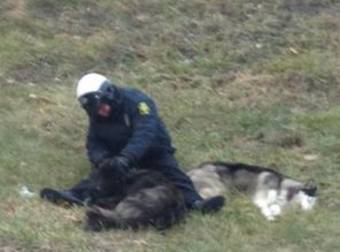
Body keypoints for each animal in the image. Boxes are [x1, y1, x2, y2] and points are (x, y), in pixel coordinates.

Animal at [187, 162, 318, 220]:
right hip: (218, 188)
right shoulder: (261, 197)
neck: (281, 185)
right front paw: (270, 217)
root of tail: (190, 171)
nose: (310, 212)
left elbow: (276, 208)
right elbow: (266, 207)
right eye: (310, 200)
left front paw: (275, 212)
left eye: (313, 204)